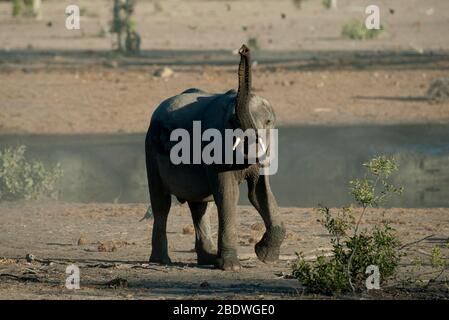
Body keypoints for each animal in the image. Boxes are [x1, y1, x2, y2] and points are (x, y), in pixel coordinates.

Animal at [145, 45, 286, 270]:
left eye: (268, 121)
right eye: (233, 121)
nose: (243, 49)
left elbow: (260, 193)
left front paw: (265, 257)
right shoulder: (214, 146)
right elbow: (227, 194)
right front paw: (232, 267)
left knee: (201, 206)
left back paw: (208, 259)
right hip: (150, 149)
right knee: (161, 204)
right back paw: (161, 261)